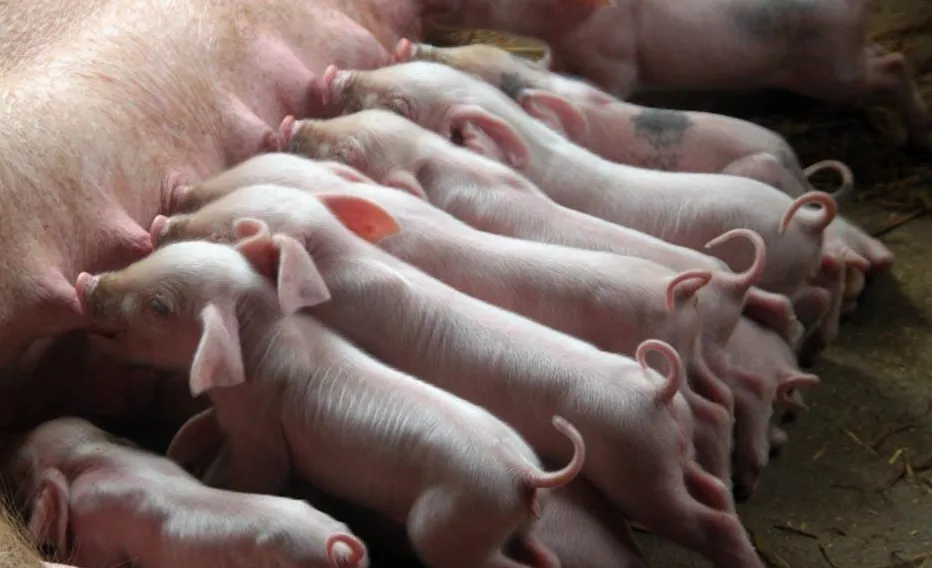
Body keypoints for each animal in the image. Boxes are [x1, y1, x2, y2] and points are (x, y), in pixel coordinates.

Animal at [74, 231, 587, 568]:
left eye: (159, 307)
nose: (87, 281)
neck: (260, 343)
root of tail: (524, 473)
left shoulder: (260, 430)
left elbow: (250, 473)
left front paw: (206, 478)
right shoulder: (228, 414)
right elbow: (198, 426)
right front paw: (177, 447)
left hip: (451, 524)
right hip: (509, 521)